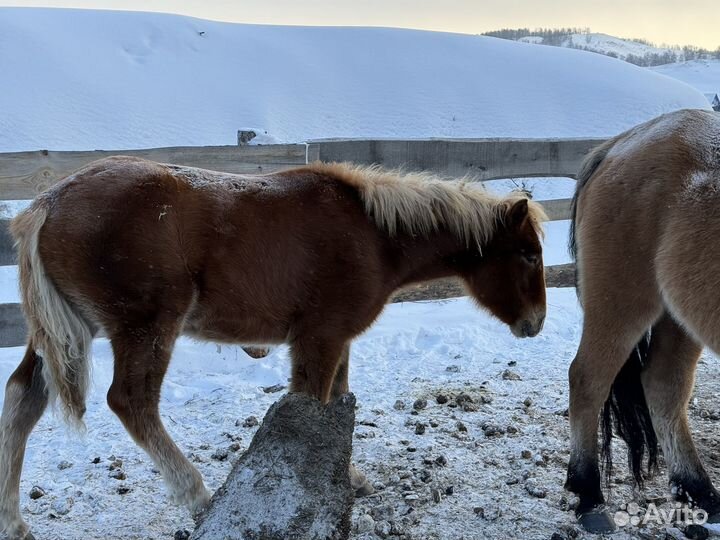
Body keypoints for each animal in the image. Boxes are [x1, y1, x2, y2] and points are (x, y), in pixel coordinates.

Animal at [0, 156, 544, 536]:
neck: (373, 237)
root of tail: (46, 205)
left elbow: (335, 405)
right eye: (527, 253)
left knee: (22, 397)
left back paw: (14, 522)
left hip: (62, 333)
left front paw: (351, 478)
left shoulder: (334, 339)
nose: (535, 323)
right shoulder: (319, 339)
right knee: (131, 402)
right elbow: (313, 405)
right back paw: (199, 497)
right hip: (146, 328)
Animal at [564, 107, 720, 532]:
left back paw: (698, 491)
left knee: (664, 386)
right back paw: (589, 495)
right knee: (588, 380)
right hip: (621, 302)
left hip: (678, 316)